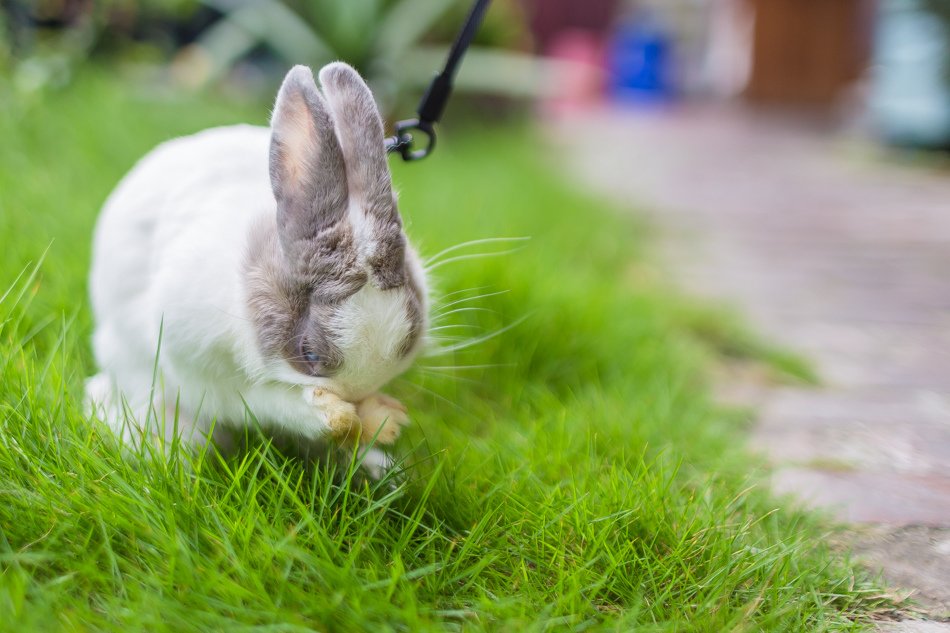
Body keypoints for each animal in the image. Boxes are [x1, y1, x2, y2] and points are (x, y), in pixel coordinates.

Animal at [85, 64, 428, 462]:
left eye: (409, 338)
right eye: (308, 353)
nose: (356, 394)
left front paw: (384, 419)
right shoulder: (198, 367)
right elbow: (261, 401)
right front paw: (331, 416)